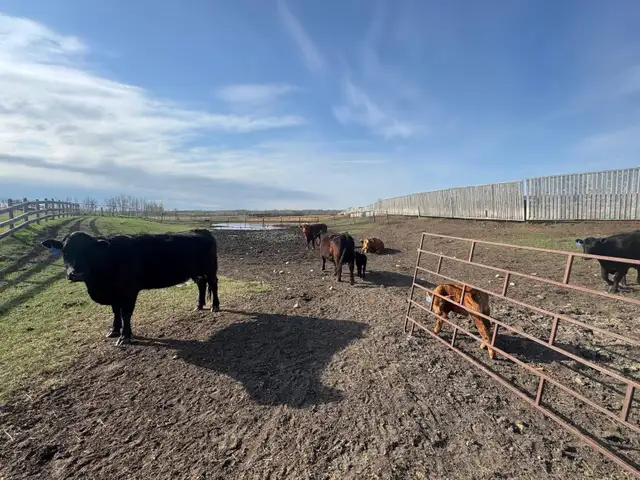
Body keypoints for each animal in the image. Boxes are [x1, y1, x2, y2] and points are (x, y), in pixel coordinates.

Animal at [41, 229, 220, 346]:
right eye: (65, 250)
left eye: (90, 251)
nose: (76, 273)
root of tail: (201, 230)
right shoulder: (114, 293)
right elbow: (115, 311)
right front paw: (114, 330)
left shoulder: (129, 291)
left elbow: (125, 313)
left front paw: (125, 336)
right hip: (196, 271)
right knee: (201, 284)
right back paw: (199, 305)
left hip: (210, 268)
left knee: (213, 284)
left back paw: (215, 306)